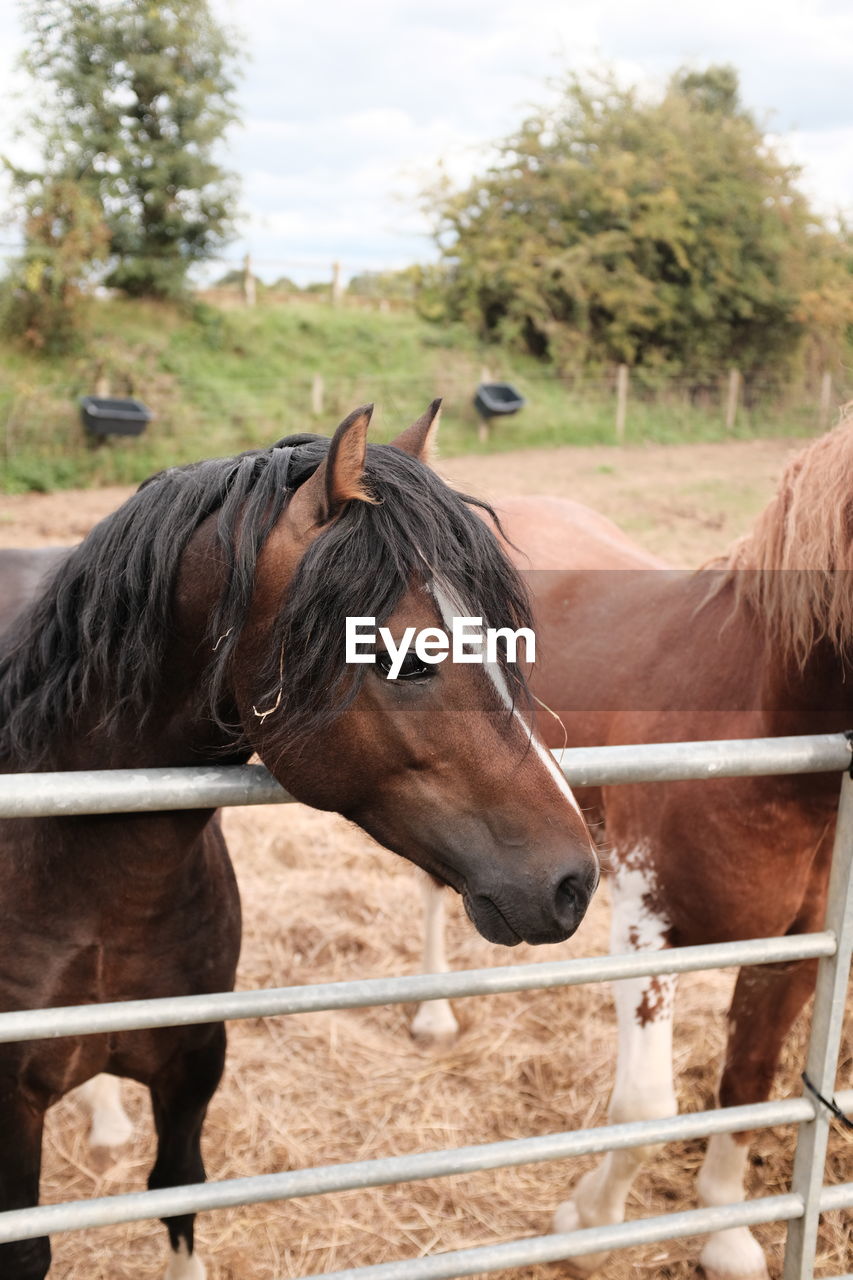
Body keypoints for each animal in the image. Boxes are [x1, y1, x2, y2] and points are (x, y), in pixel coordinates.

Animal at [414, 414, 850, 1274]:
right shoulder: (646, 931)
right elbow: (647, 1104)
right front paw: (589, 1220)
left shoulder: (792, 951)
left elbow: (744, 1086)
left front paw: (724, 1232)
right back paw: (437, 1014)